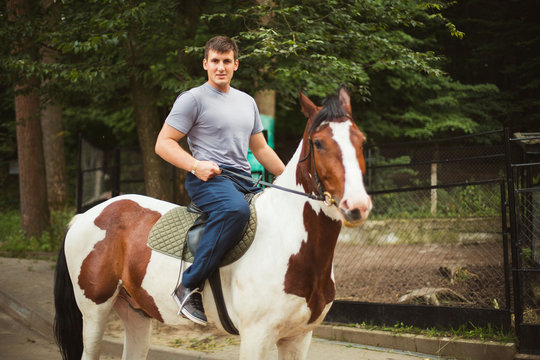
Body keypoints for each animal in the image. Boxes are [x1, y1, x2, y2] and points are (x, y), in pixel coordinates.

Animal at [53, 87, 372, 360]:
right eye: (319, 142)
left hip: (137, 314)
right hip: (94, 312)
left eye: (361, 140)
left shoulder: (299, 338)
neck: (289, 243)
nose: (357, 206)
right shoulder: (256, 337)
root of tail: (87, 215)